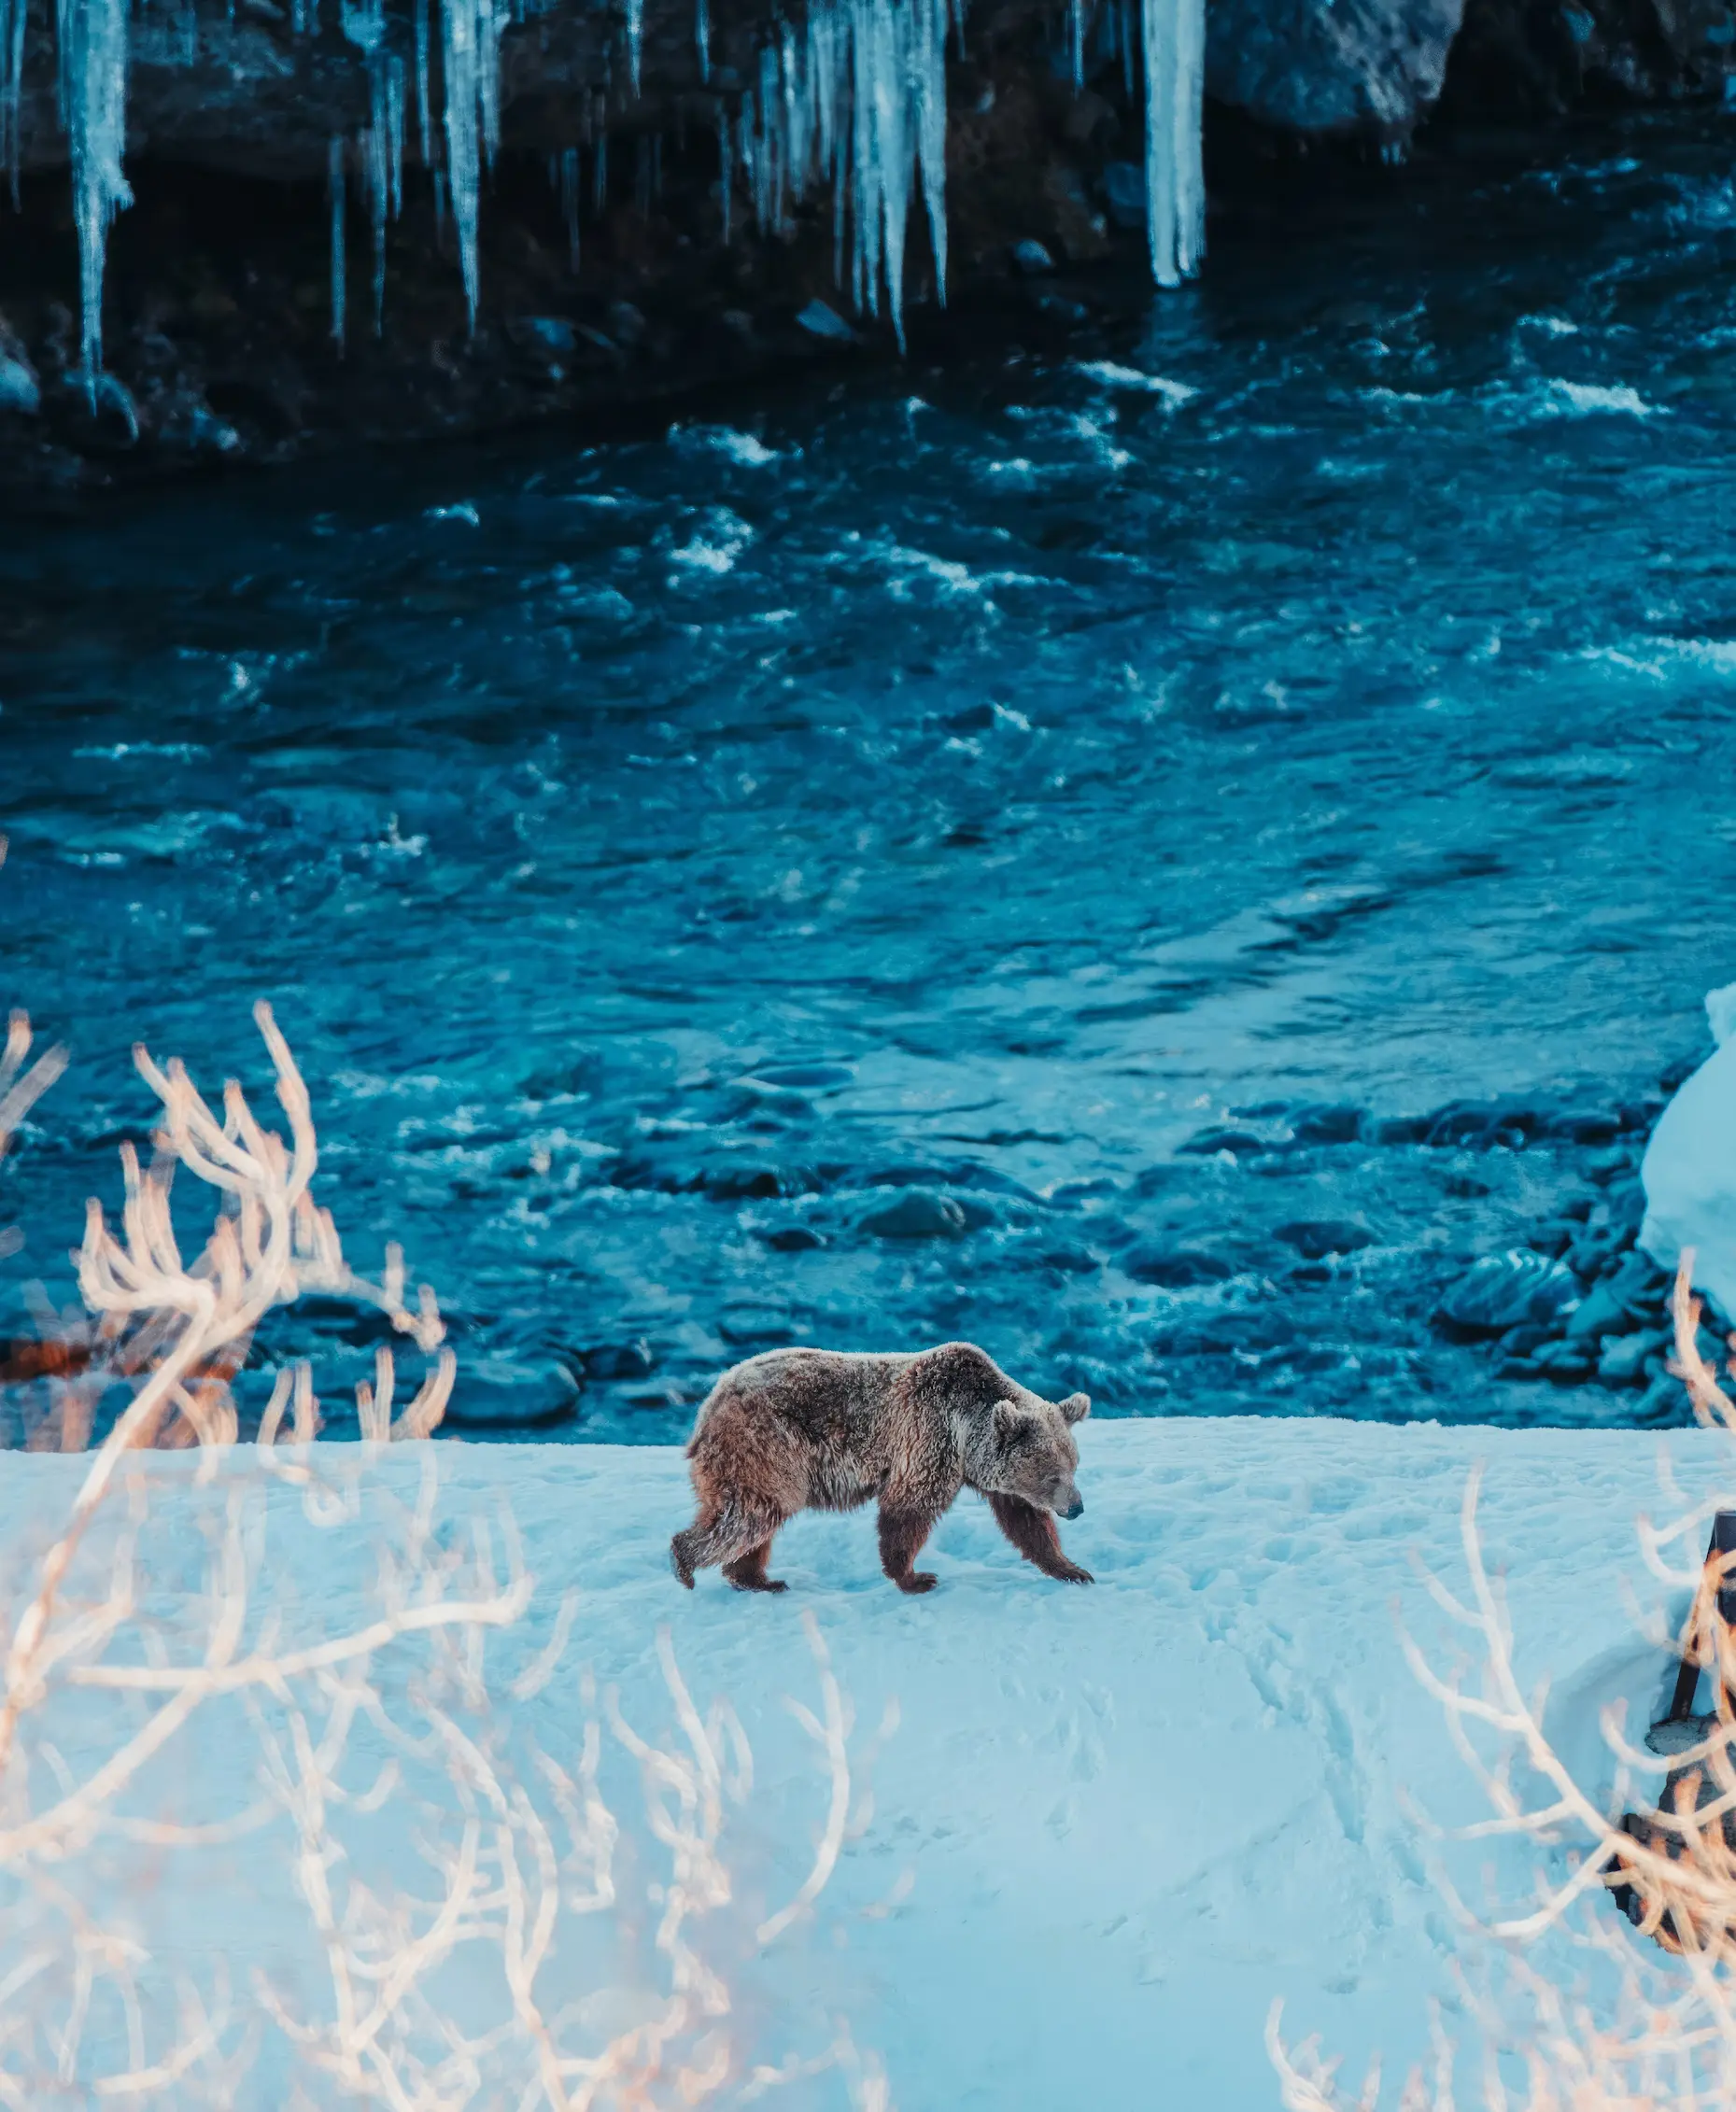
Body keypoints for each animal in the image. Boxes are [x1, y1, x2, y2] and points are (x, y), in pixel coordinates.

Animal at [669, 1340, 1091, 1594]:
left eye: (1074, 1466)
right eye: (1053, 1474)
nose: (1076, 1507)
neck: (967, 1432)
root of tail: (711, 1401)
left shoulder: (993, 1476)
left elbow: (1026, 1522)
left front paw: (1073, 1569)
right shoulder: (927, 1436)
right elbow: (909, 1509)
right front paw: (915, 1576)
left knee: (754, 1520)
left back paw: (757, 1579)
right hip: (764, 1448)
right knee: (750, 1515)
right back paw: (685, 1564)